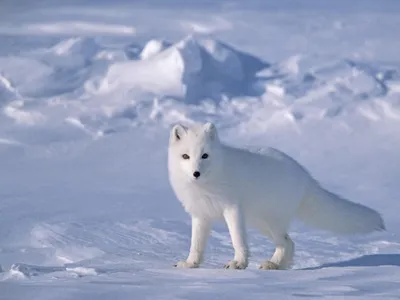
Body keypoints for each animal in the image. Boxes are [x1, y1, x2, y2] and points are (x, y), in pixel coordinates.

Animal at [167, 122, 386, 270]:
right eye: (185, 156)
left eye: (205, 155)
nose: (196, 173)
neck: (207, 185)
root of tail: (305, 176)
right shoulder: (200, 214)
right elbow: (196, 244)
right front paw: (190, 264)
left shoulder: (233, 209)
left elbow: (238, 240)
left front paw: (239, 263)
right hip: (260, 222)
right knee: (289, 242)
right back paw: (278, 265)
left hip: (270, 220)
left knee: (287, 242)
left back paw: (273, 265)